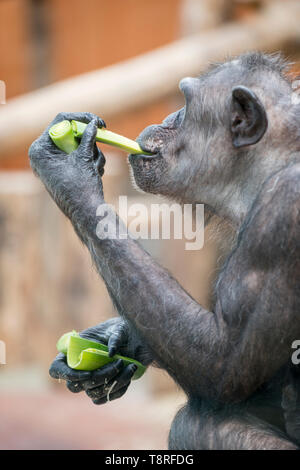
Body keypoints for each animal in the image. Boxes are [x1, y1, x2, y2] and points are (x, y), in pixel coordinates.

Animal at [28, 53, 300, 450]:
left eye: (185, 103)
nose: (169, 116)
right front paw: (116, 339)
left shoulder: (282, 215)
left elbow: (223, 363)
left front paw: (67, 170)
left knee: (196, 424)